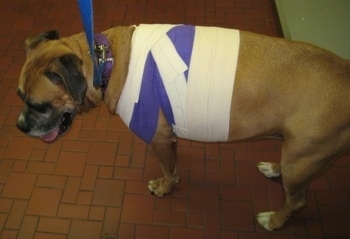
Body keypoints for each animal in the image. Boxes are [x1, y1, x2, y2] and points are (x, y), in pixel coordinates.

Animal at [15, 25, 350, 231]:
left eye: (40, 105)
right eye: (19, 95)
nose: (19, 127)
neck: (105, 60)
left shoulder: (158, 140)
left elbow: (169, 171)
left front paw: (164, 188)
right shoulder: (169, 138)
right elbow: (174, 162)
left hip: (303, 161)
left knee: (298, 201)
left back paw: (275, 220)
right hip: (298, 155)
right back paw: (273, 168)